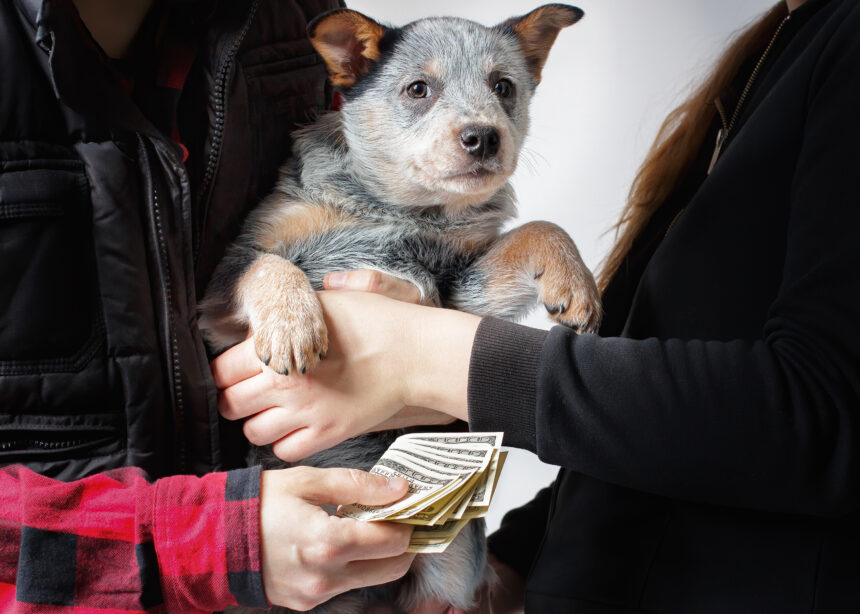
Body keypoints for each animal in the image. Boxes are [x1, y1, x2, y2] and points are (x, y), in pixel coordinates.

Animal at [203, 3, 596, 612]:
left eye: (504, 87)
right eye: (418, 88)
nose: (484, 137)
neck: (399, 211)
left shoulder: (457, 287)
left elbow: (539, 228)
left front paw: (575, 281)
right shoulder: (226, 284)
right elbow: (267, 265)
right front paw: (294, 324)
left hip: (449, 574)